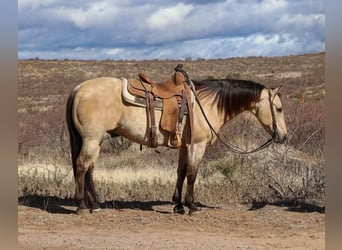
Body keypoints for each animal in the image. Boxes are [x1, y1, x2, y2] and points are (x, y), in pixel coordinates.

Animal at [65, 66, 288, 215]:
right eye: (278, 108)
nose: (283, 136)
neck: (207, 104)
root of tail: (78, 89)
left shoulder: (184, 146)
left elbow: (180, 172)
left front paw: (178, 205)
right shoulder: (197, 145)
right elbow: (192, 173)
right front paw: (192, 205)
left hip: (94, 141)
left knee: (89, 169)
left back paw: (95, 205)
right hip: (91, 139)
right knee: (82, 165)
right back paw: (82, 206)